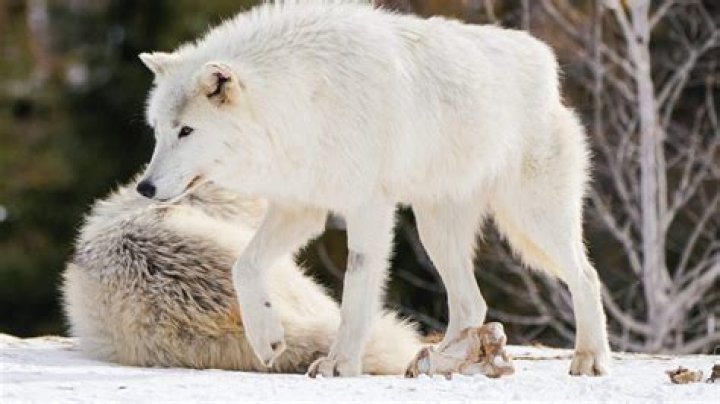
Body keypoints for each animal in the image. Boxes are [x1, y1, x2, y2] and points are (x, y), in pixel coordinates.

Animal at [136, 1, 611, 377]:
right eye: (156, 131)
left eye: (186, 131)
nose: (144, 187)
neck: (303, 97)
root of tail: (544, 60)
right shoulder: (300, 208)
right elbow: (244, 266)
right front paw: (267, 339)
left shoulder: (367, 208)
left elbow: (355, 296)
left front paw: (340, 364)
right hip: (436, 233)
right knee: (471, 304)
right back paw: (439, 363)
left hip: (534, 222)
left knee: (586, 276)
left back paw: (590, 359)